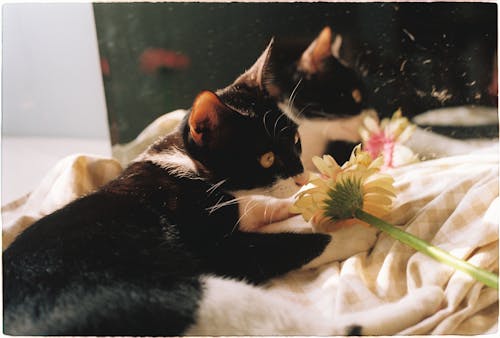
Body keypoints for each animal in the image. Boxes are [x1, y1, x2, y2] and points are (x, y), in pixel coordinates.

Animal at [1, 59, 360, 334]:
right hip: (165, 291)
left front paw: (308, 195)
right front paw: (354, 231)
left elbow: (260, 205)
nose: (301, 176)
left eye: (296, 141)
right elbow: (290, 242)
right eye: (267, 158)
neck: (187, 164)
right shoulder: (214, 249)